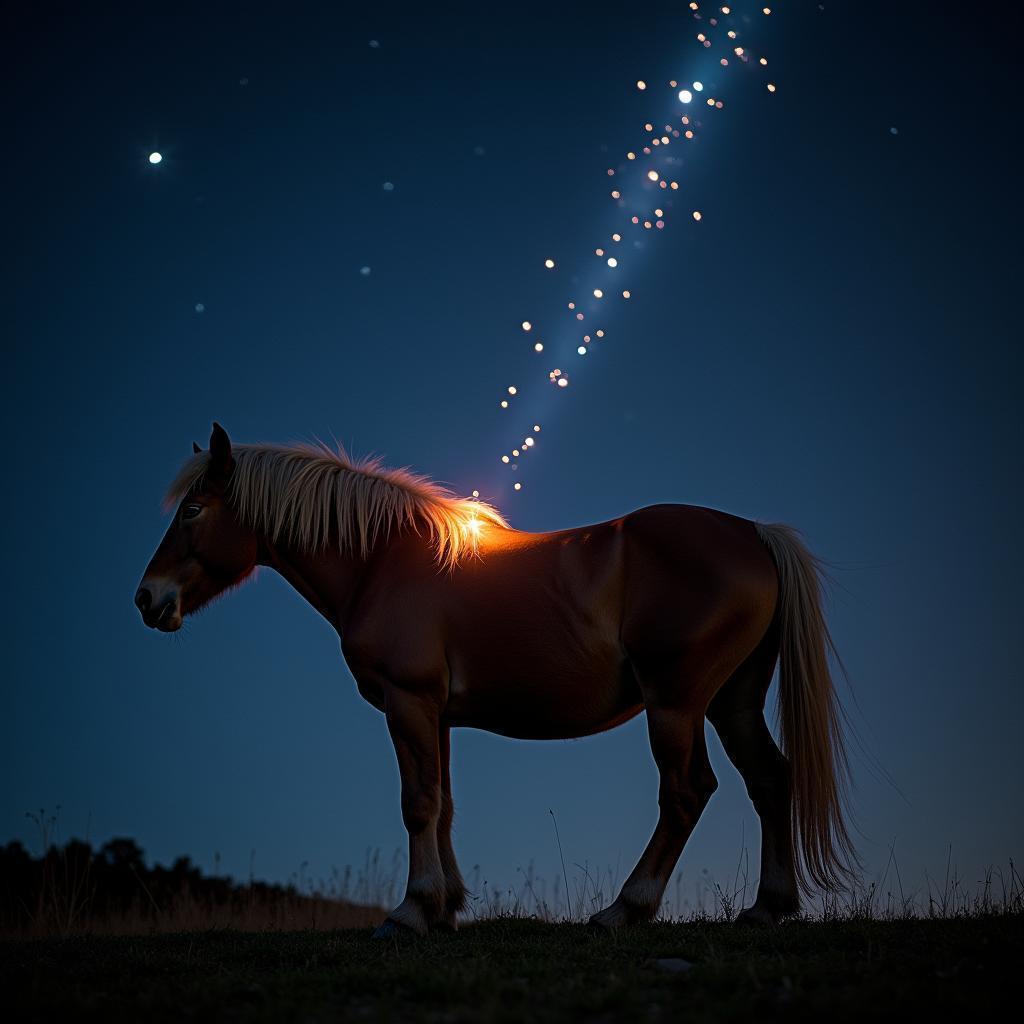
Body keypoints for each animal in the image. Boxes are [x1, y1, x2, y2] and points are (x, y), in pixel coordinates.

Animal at [135, 422, 856, 935]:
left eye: (194, 510)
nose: (147, 599)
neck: (382, 562)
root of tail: (755, 534)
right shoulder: (436, 713)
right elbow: (445, 803)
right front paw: (446, 906)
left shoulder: (407, 701)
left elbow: (418, 801)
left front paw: (411, 912)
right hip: (733, 702)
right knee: (769, 779)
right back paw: (767, 908)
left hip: (676, 702)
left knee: (686, 793)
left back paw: (624, 910)